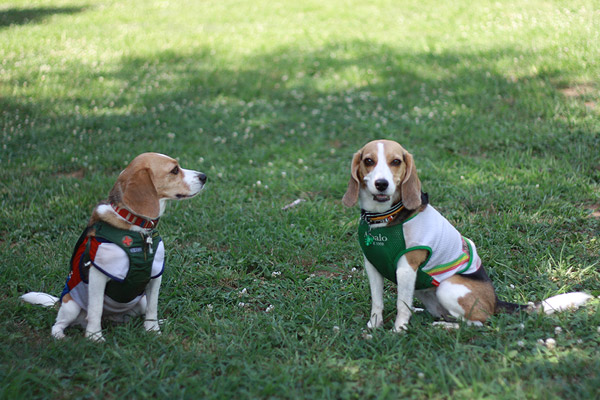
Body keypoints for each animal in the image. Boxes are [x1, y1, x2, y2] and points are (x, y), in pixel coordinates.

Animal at [21, 153, 207, 340]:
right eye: (174, 170)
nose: (204, 176)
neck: (137, 228)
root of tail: (59, 302)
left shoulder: (155, 276)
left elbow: (152, 308)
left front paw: (153, 330)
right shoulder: (99, 276)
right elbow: (95, 309)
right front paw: (95, 337)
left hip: (140, 300)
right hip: (71, 306)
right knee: (59, 323)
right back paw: (60, 335)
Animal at [342, 141, 592, 332]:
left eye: (396, 162)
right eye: (368, 161)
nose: (381, 184)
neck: (383, 219)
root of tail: (494, 302)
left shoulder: (406, 269)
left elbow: (402, 304)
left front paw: (398, 331)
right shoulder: (373, 265)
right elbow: (377, 302)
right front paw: (374, 327)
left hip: (447, 287)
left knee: (478, 322)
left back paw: (445, 327)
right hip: (425, 291)